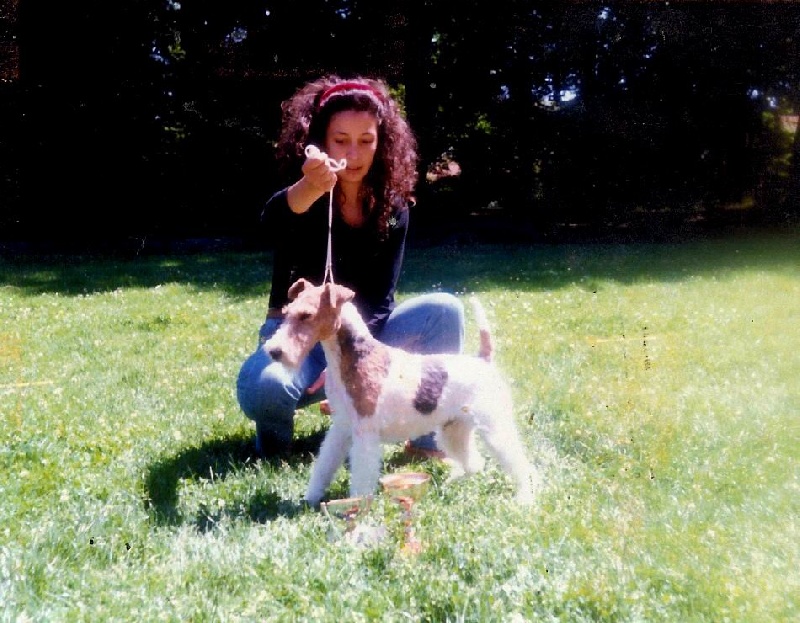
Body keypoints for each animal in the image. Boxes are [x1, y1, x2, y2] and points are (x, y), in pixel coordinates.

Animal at [263, 278, 538, 506]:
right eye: (286, 313)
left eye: (306, 315)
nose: (274, 351)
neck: (353, 356)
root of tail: (483, 360)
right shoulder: (341, 428)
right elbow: (324, 465)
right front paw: (310, 498)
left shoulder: (364, 433)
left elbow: (361, 473)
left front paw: (359, 506)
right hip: (454, 429)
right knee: (475, 462)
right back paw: (453, 482)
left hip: (493, 426)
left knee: (518, 462)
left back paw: (524, 497)